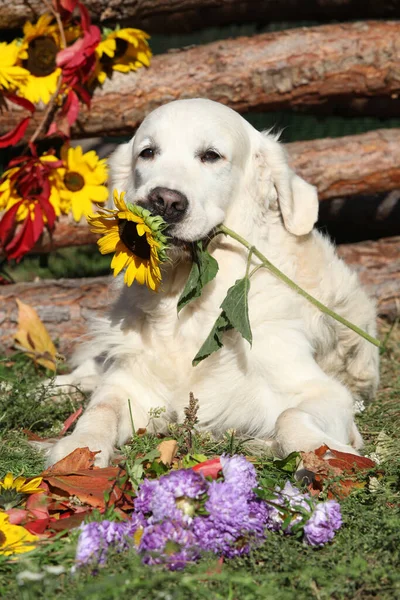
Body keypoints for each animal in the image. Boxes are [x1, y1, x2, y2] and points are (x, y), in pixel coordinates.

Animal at [46, 98, 378, 466]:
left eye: (211, 155)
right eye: (147, 152)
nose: (165, 201)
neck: (191, 301)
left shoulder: (319, 389)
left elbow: (289, 416)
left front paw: (324, 453)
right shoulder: (131, 381)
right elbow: (101, 408)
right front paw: (78, 449)